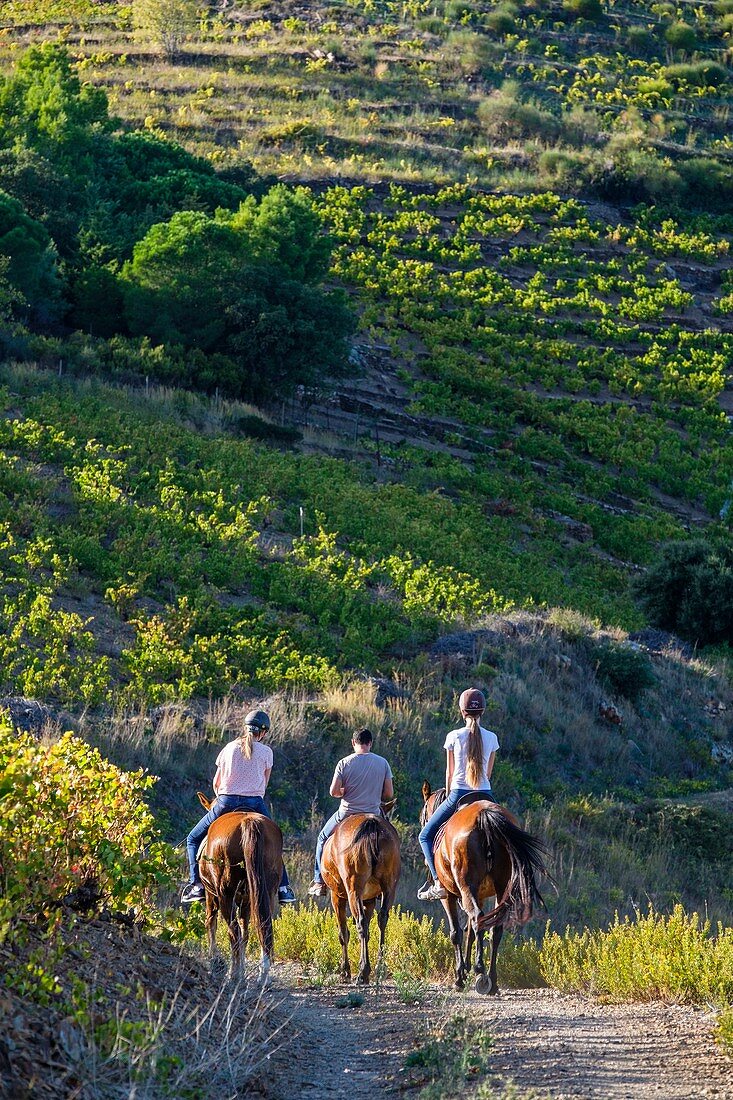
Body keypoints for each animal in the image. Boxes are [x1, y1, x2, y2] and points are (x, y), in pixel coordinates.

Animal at [195, 796, 280, 985]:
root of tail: (248, 822)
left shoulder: (211, 896)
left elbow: (211, 923)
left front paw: (215, 959)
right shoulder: (247, 901)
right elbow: (245, 934)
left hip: (225, 895)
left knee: (232, 932)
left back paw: (234, 976)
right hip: (267, 893)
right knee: (263, 927)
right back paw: (263, 976)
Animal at [319, 814, 400, 985]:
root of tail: (371, 823)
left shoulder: (337, 897)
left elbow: (343, 933)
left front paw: (345, 971)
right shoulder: (369, 900)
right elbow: (368, 931)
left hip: (353, 890)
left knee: (360, 924)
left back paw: (363, 972)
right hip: (389, 887)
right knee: (382, 919)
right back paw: (379, 968)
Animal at [420, 783, 545, 998]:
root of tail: (484, 816)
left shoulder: (449, 896)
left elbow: (456, 932)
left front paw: (460, 977)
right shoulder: (478, 894)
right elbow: (469, 930)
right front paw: (466, 969)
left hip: (465, 888)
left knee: (478, 919)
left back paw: (480, 972)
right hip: (501, 888)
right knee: (494, 928)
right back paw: (492, 981)